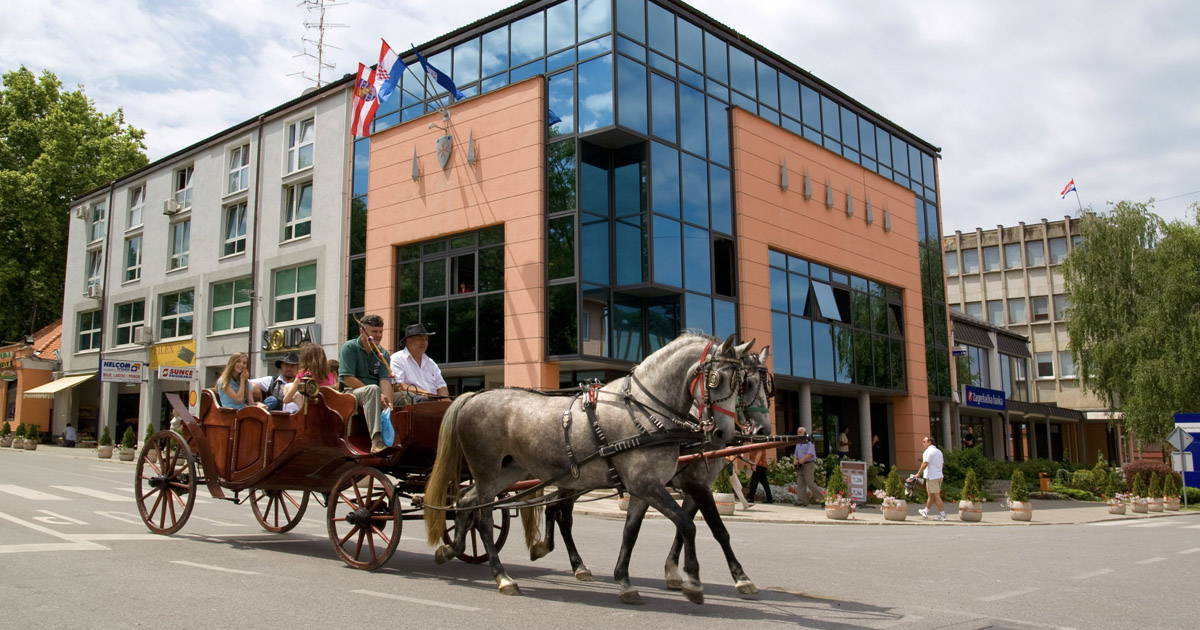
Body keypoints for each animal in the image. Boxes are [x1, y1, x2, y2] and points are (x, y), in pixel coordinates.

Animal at [424, 331, 748, 602]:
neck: (645, 411)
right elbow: (689, 525)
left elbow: (631, 532)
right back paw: (502, 576)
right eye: (717, 379)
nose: (724, 433)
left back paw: (451, 549)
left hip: (509, 471)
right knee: (484, 517)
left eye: (741, 382)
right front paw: (694, 581)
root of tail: (473, 396)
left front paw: (625, 581)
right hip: (486, 468)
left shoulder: (644, 489)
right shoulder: (651, 486)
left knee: (466, 502)